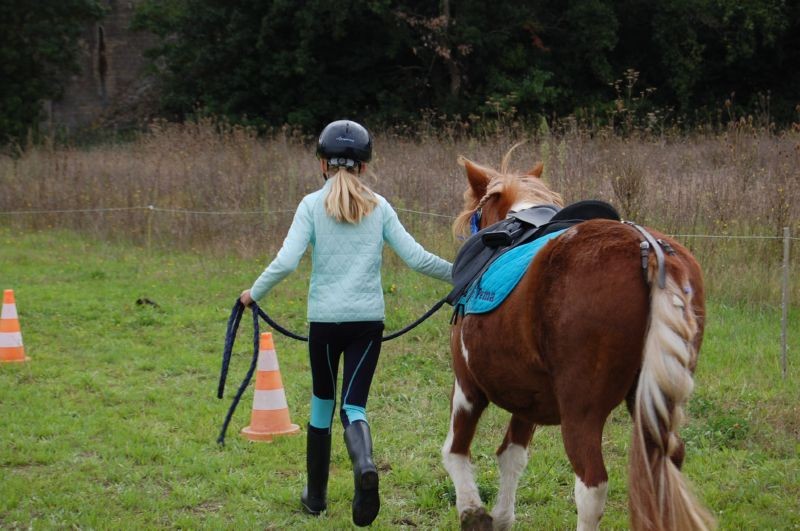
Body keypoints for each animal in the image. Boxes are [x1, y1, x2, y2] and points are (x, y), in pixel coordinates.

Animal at [442, 147, 714, 531]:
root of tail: (648, 250)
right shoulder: (528, 399)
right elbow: (512, 456)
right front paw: (502, 516)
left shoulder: (468, 386)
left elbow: (455, 452)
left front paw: (473, 512)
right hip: (655, 402)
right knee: (667, 462)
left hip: (581, 410)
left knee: (592, 485)